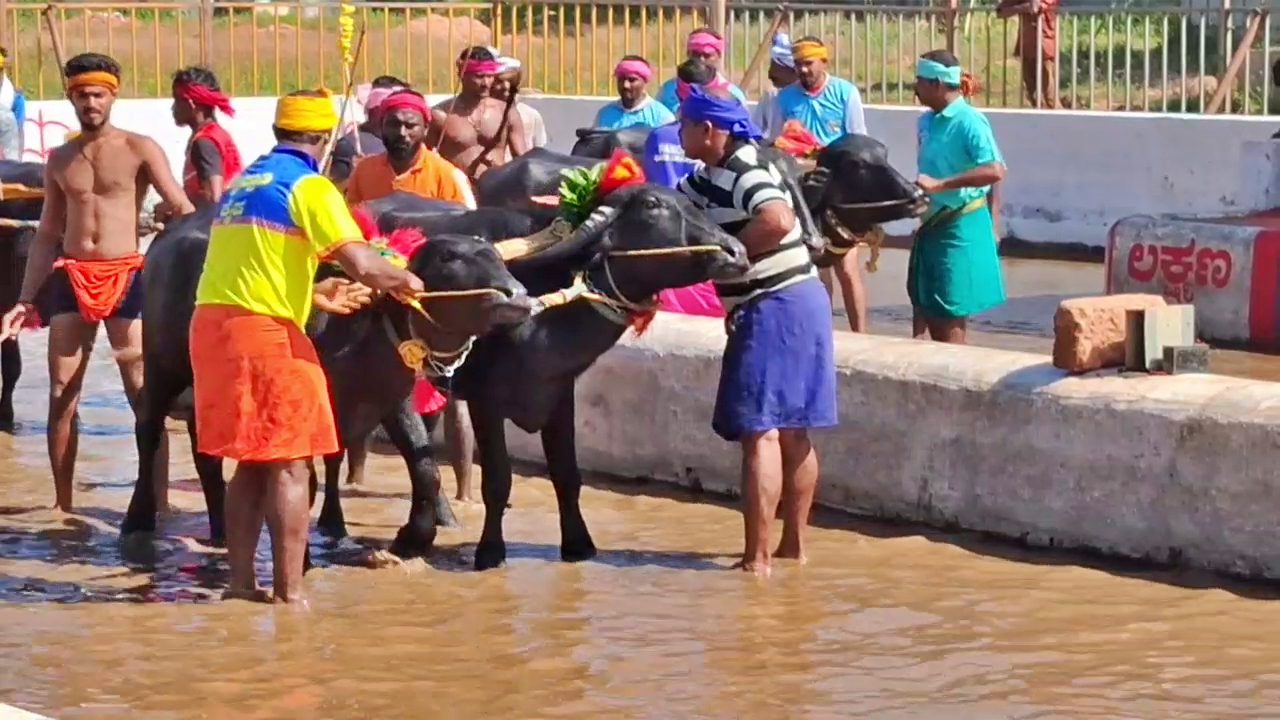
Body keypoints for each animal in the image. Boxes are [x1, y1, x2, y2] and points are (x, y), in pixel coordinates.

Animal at [120, 202, 535, 548]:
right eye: (449, 257)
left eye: (495, 256)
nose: (516, 294)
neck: (364, 328)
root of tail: (167, 237)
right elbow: (311, 476)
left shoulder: (392, 401)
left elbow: (425, 467)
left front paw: (413, 534)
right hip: (161, 365)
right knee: (148, 429)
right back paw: (137, 519)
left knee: (205, 452)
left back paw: (222, 530)